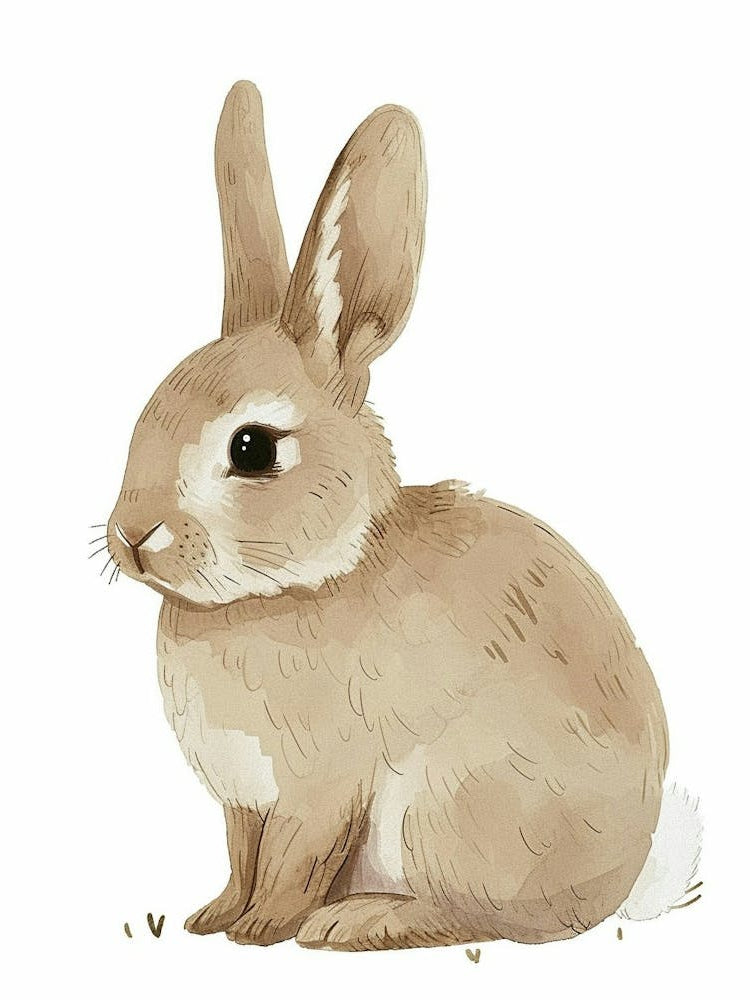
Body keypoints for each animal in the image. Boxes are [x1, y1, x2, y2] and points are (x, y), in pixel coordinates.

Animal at [106, 81, 699, 950]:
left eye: (252, 449)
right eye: (148, 409)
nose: (129, 536)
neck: (300, 585)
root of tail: (620, 884)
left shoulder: (319, 792)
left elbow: (289, 865)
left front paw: (260, 931)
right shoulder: (243, 803)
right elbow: (241, 859)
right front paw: (210, 919)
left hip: (451, 808)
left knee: (477, 917)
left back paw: (356, 921)